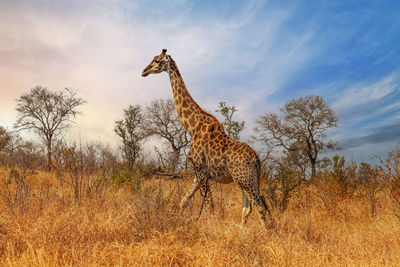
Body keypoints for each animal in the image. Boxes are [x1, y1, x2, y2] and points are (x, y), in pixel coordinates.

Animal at [141, 49, 272, 227]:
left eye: (156, 60)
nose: (144, 71)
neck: (193, 128)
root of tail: (256, 159)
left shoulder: (201, 170)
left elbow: (206, 206)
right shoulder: (201, 174)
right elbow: (186, 201)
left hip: (244, 179)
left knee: (259, 207)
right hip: (247, 180)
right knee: (249, 207)